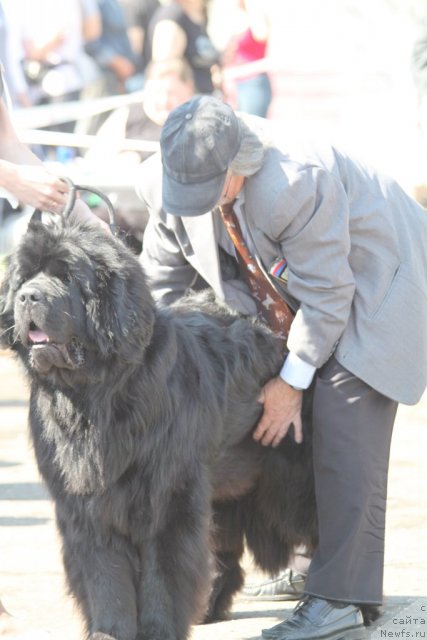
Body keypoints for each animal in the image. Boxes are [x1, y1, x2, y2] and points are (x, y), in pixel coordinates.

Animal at [0, 216, 318, 640]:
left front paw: (157, 629)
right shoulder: (87, 501)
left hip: (291, 477)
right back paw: (210, 606)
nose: (27, 298)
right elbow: (105, 573)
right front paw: (109, 631)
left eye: (66, 277)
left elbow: (164, 569)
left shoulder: (166, 492)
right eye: (24, 278)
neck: (98, 394)